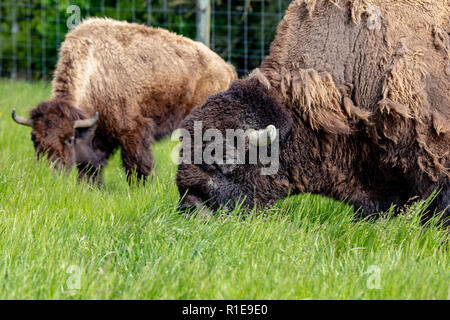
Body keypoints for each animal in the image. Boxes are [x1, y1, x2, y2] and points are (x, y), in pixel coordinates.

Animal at [11, 18, 236, 182]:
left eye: (69, 139)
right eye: (34, 139)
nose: (50, 174)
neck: (94, 72)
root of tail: (226, 68)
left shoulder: (132, 132)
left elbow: (137, 163)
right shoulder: (99, 134)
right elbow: (92, 165)